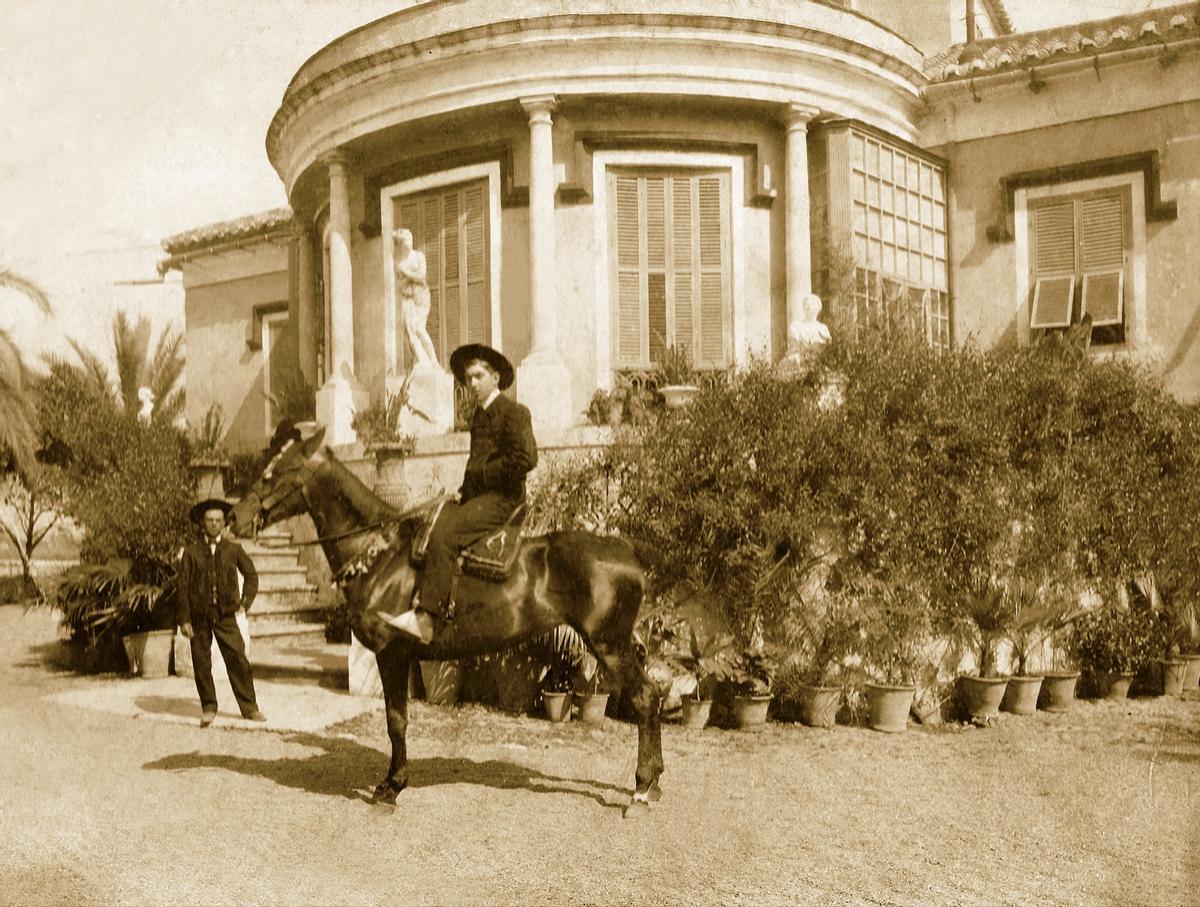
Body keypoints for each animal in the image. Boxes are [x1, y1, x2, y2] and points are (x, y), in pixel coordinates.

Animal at [226, 424, 667, 815]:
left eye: (274, 473)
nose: (233, 519)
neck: (383, 556)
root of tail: (627, 549)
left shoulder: (392, 653)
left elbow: (396, 721)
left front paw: (392, 787)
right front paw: (390, 783)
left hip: (609, 644)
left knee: (645, 699)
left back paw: (642, 789)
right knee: (652, 696)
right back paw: (654, 782)